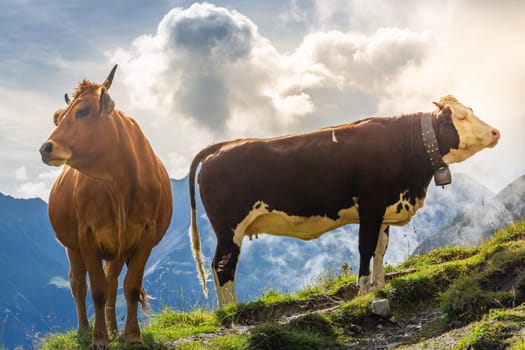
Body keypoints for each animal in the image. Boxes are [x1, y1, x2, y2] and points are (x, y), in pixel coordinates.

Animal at [41, 65, 172, 348]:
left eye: (82, 111)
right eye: (61, 117)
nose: (45, 148)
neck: (120, 186)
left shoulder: (145, 236)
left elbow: (129, 287)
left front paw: (131, 335)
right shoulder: (86, 236)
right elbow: (97, 290)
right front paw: (99, 338)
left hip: (117, 249)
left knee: (112, 281)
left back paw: (114, 330)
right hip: (71, 245)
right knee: (78, 284)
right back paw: (84, 331)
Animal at [188, 94, 500, 308]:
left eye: (470, 112)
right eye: (460, 117)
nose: (496, 132)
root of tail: (220, 147)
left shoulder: (385, 210)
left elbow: (380, 249)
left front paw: (379, 286)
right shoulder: (371, 206)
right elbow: (365, 248)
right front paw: (362, 290)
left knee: (221, 266)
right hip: (229, 226)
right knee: (222, 266)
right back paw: (232, 311)